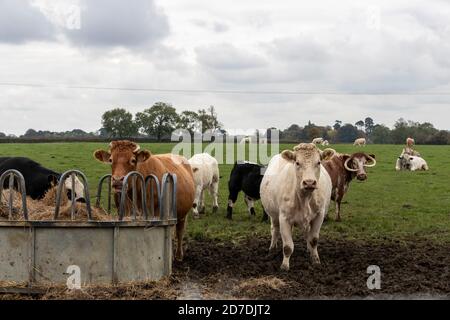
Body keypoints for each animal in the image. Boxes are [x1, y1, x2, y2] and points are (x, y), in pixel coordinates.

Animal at [258, 144, 336, 272]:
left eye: (318, 162)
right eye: (297, 163)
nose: (309, 182)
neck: (305, 198)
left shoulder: (319, 215)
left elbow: (313, 240)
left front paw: (315, 260)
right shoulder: (284, 218)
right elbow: (287, 246)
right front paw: (284, 266)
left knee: (307, 234)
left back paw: (308, 250)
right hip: (273, 215)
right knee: (275, 230)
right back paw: (272, 249)